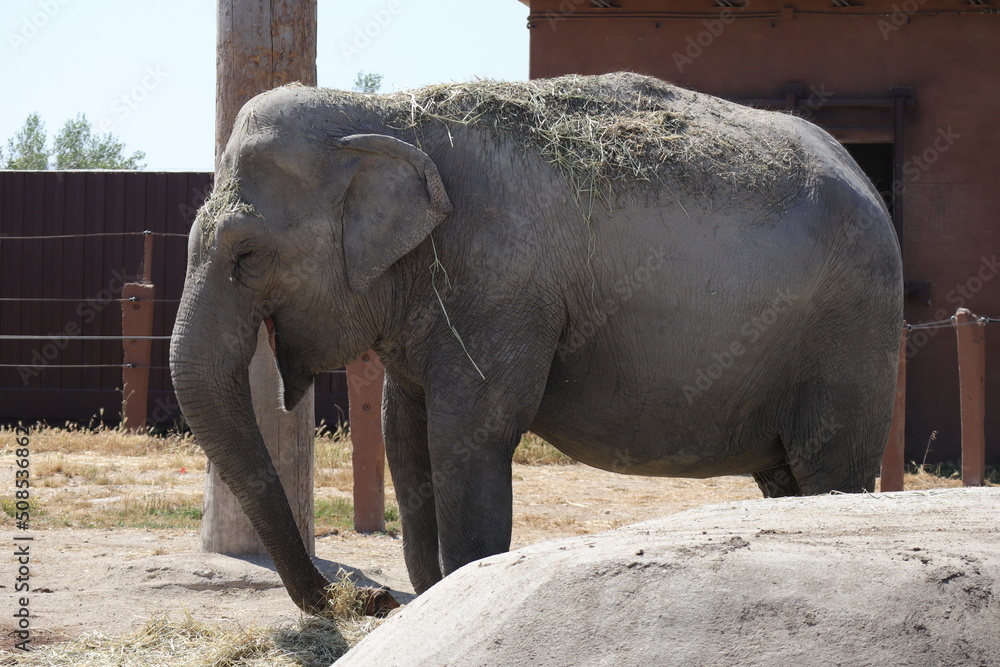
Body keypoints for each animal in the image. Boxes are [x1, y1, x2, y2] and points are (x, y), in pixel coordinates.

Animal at [170, 72, 903, 612]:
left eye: (246, 255)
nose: (369, 598)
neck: (390, 113)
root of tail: (869, 184)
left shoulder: (504, 286)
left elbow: (469, 434)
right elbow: (408, 438)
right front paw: (424, 603)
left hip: (851, 340)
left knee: (828, 470)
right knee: (788, 480)